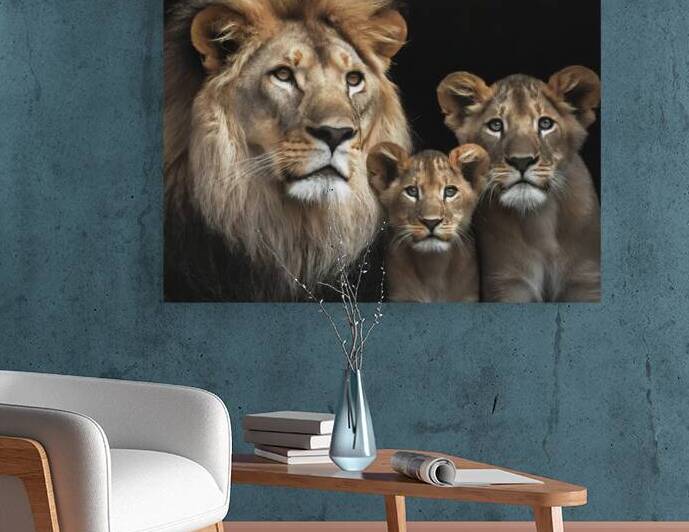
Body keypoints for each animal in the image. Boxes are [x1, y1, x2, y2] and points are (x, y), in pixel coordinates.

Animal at [437, 66, 601, 302]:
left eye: (545, 124)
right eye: (495, 125)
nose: (521, 161)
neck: (542, 221)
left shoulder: (585, 279)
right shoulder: (507, 282)